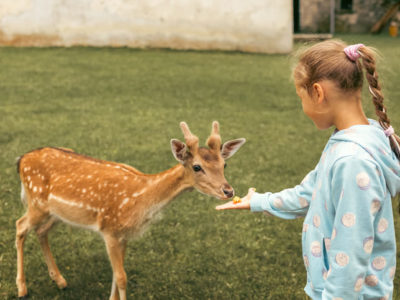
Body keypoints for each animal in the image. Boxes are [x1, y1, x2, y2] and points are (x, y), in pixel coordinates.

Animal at [15, 120, 245, 298]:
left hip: (58, 213)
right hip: (37, 202)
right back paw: (22, 288)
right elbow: (122, 278)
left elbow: (116, 276)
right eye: (197, 167)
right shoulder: (109, 229)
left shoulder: (123, 234)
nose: (228, 191)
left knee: (41, 231)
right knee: (20, 226)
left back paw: (60, 280)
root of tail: (21, 159)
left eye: (224, 164)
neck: (139, 202)